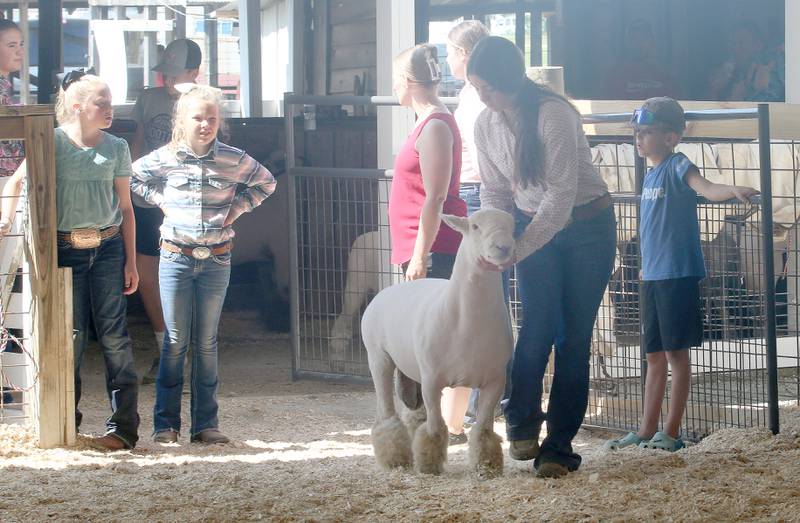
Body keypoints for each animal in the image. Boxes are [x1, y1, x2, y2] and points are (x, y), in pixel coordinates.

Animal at [360, 210, 516, 478]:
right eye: (475, 226)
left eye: (513, 226)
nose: (503, 247)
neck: (469, 324)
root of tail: (386, 291)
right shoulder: (433, 379)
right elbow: (434, 426)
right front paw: (429, 466)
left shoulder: (495, 380)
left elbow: (484, 430)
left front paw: (487, 466)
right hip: (378, 357)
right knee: (387, 413)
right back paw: (396, 459)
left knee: (413, 412)